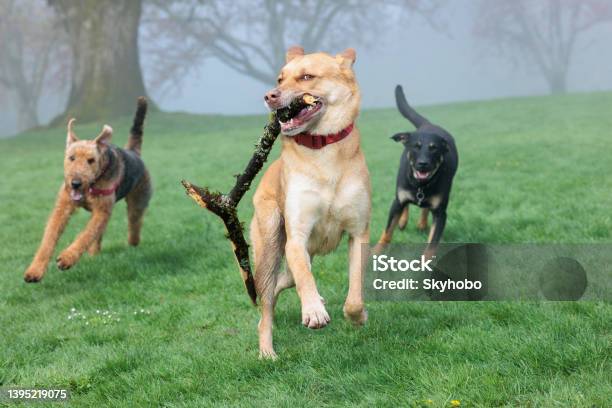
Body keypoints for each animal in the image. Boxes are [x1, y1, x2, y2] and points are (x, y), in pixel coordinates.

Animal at [24, 97, 152, 282]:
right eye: (71, 158)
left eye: (91, 160)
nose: (75, 183)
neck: (91, 186)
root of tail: (133, 152)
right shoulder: (63, 207)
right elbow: (49, 238)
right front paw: (34, 271)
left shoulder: (101, 211)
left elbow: (85, 234)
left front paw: (66, 259)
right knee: (98, 235)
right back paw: (94, 254)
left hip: (137, 202)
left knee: (134, 224)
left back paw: (132, 244)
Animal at [252, 47, 370, 356]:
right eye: (279, 79)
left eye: (306, 77)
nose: (269, 95)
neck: (323, 148)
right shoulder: (296, 239)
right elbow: (305, 277)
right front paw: (314, 312)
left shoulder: (359, 234)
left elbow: (355, 294)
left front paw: (357, 316)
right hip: (270, 246)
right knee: (267, 304)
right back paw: (267, 352)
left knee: (284, 281)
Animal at [378, 85, 460, 256]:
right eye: (416, 146)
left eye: (434, 148)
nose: (423, 164)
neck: (420, 185)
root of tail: (429, 124)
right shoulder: (397, 202)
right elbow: (387, 232)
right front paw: (373, 254)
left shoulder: (441, 213)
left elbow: (432, 244)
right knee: (406, 204)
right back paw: (403, 221)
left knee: (424, 209)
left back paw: (421, 223)